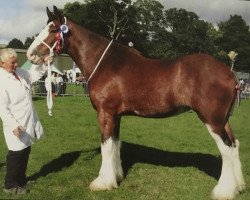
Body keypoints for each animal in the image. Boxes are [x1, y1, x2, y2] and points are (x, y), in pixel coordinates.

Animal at [26, 5, 245, 199]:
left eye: (53, 29)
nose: (30, 54)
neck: (105, 63)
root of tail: (230, 73)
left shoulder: (105, 113)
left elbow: (106, 145)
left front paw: (102, 182)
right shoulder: (116, 115)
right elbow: (115, 144)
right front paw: (115, 177)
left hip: (212, 120)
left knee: (226, 149)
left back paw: (224, 191)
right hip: (223, 120)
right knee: (234, 145)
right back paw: (240, 186)